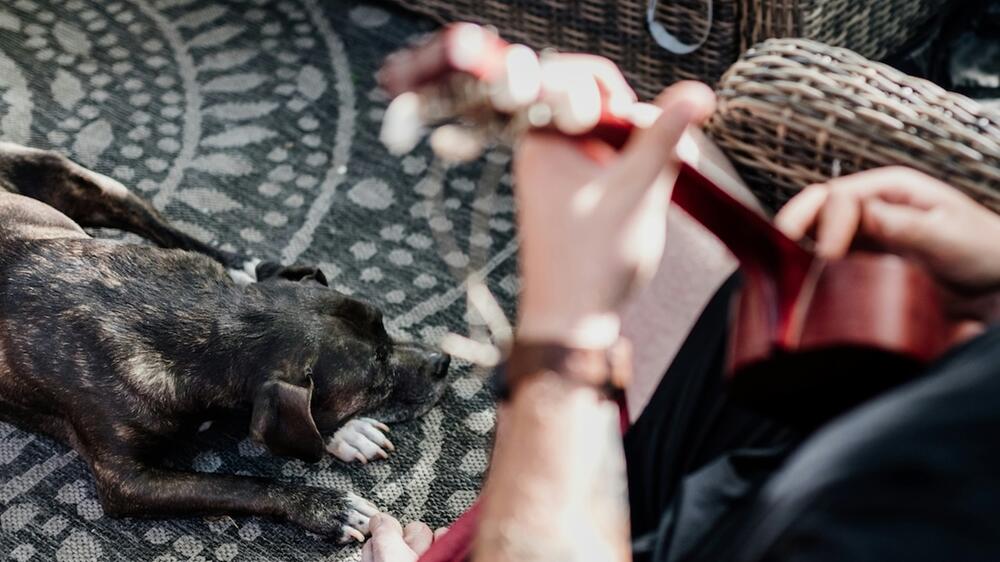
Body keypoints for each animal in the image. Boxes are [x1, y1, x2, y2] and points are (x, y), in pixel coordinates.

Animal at [0, 142, 450, 540]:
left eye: (384, 325)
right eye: (375, 380)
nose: (443, 361)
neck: (207, 323)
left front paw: (345, 432)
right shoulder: (127, 483)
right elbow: (238, 484)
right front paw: (326, 506)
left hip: (94, 184)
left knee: (167, 229)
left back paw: (244, 266)